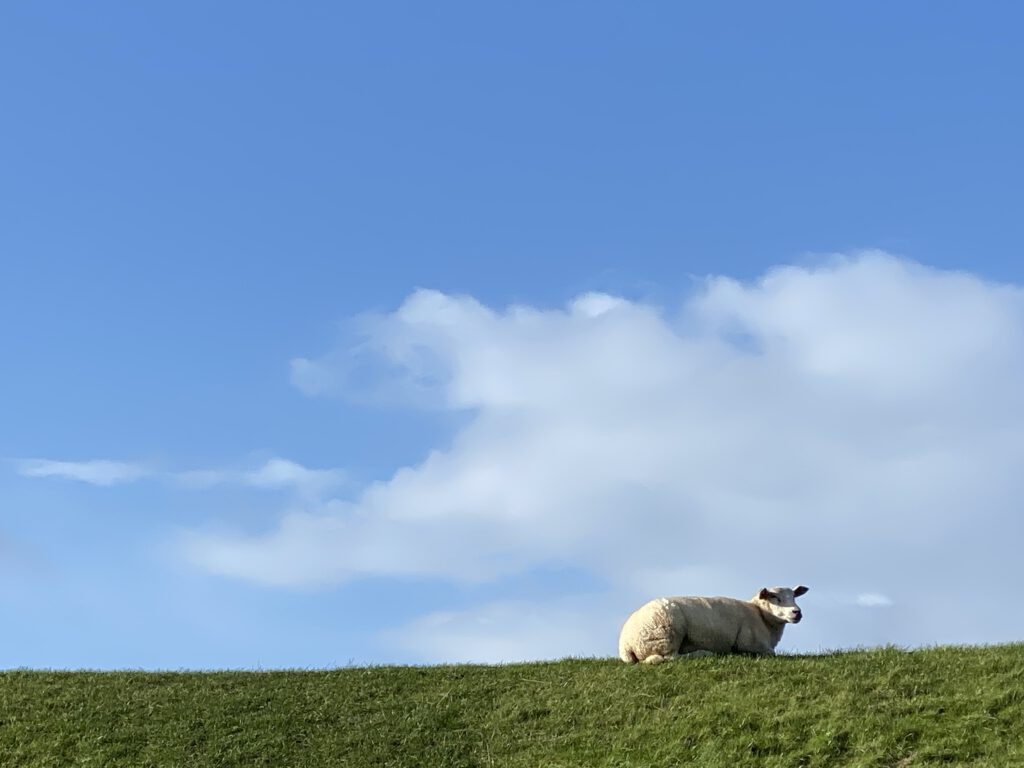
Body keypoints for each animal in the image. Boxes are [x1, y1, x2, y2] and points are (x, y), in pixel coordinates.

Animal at [614, 585, 806, 663]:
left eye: (794, 596)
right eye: (775, 597)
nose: (797, 612)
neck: (762, 617)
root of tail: (626, 644)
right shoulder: (750, 644)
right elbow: (770, 653)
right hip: (667, 633)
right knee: (669, 658)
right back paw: (703, 653)